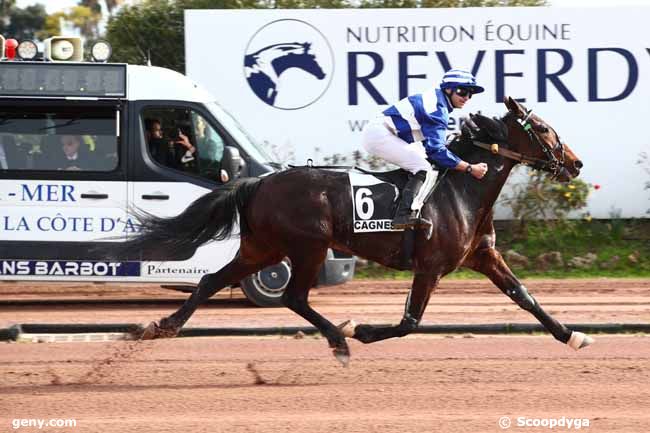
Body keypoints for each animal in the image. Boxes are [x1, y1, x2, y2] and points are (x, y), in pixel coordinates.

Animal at [123, 97, 592, 364]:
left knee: (210, 281)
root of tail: (259, 181)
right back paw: (340, 340)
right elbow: (409, 322)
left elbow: (525, 297)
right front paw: (361, 330)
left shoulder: (483, 256)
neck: (463, 191)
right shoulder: (430, 266)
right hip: (307, 247)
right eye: (544, 128)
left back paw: (160, 326)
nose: (575, 162)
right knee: (294, 297)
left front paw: (573, 335)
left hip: (263, 249)